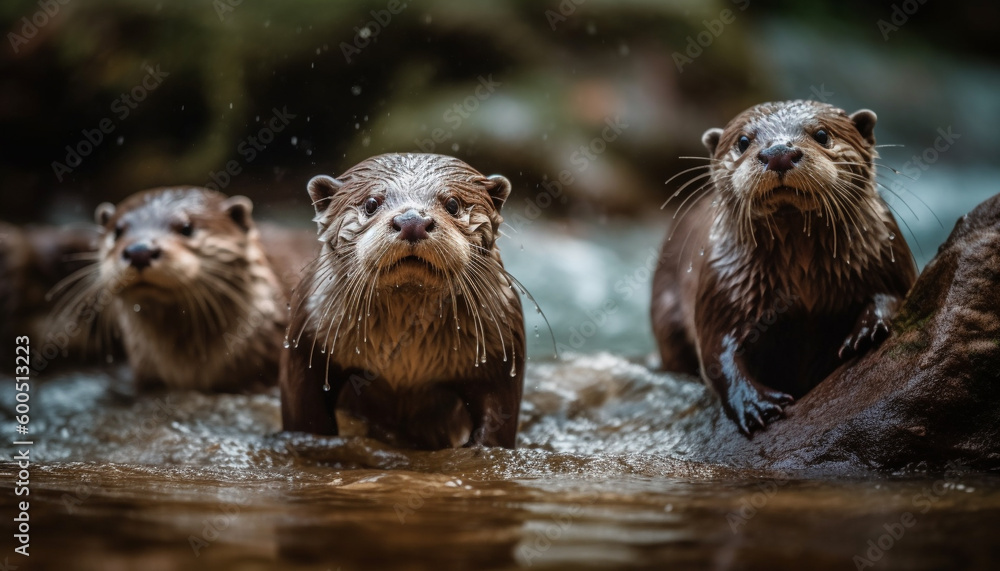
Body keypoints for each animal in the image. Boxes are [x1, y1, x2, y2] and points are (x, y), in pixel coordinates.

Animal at [280, 155, 524, 452]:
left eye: (453, 204)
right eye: (371, 203)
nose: (412, 220)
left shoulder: (502, 349)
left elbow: (498, 418)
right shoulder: (305, 343)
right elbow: (306, 417)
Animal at [652, 100, 916, 436]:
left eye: (822, 134)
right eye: (743, 141)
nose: (779, 152)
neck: (804, 287)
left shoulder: (885, 250)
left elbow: (896, 293)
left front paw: (867, 329)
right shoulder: (724, 283)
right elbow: (716, 353)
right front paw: (753, 403)